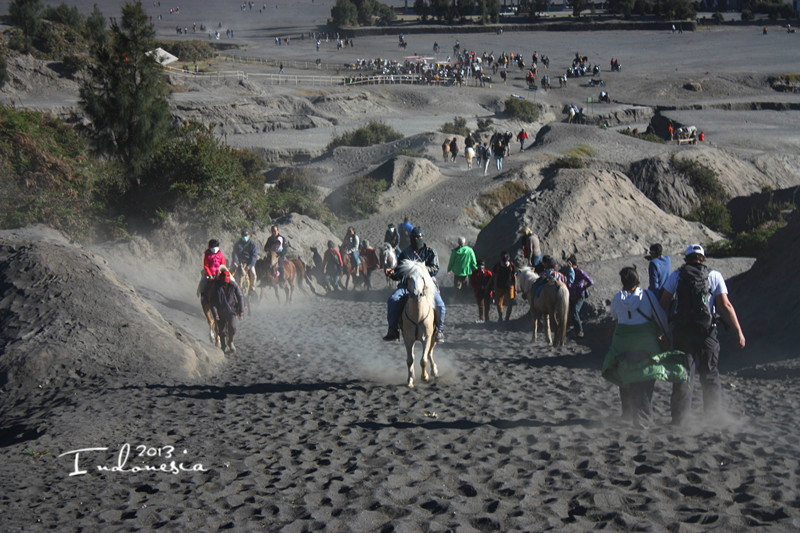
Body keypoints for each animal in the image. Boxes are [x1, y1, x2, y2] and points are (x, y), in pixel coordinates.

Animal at [396, 258, 440, 386]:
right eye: (409, 277)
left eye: (422, 277)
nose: (417, 294)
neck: (417, 315)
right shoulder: (408, 338)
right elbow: (410, 360)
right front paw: (410, 379)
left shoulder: (427, 337)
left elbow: (423, 360)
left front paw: (424, 377)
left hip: (434, 336)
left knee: (429, 353)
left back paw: (434, 371)